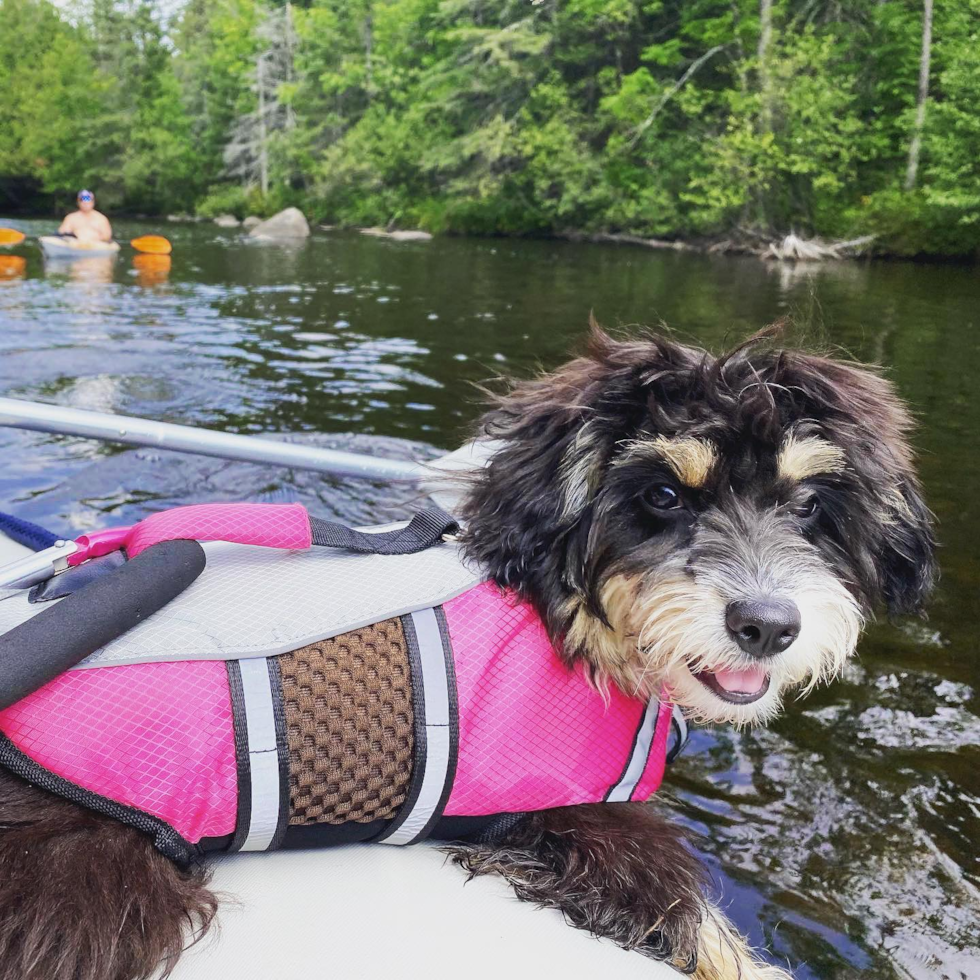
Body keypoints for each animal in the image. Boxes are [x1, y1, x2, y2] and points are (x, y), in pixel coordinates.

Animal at [0, 328, 936, 980]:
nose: (768, 625)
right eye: (665, 495)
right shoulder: (583, 821)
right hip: (87, 878)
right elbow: (701, 924)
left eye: (808, 505)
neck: (568, 623)